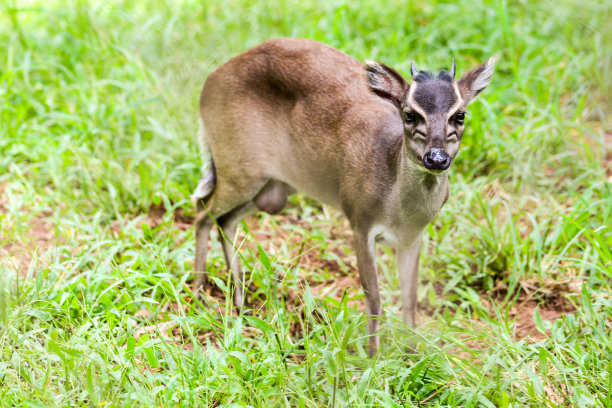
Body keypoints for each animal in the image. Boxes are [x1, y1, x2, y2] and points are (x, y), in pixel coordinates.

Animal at [191, 38, 492, 356]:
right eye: (410, 114)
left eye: (460, 115)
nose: (436, 158)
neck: (399, 210)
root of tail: (210, 82)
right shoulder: (360, 220)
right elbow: (374, 300)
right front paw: (374, 359)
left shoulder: (414, 237)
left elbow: (410, 298)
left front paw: (412, 354)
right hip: (239, 167)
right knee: (201, 209)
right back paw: (199, 294)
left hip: (272, 189)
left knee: (225, 220)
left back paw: (240, 305)